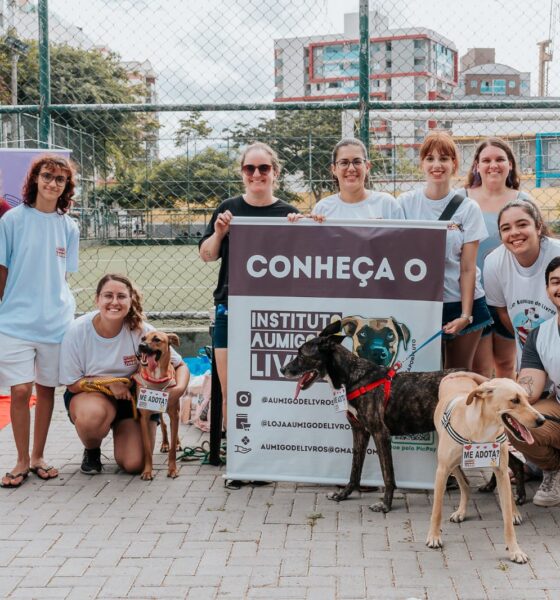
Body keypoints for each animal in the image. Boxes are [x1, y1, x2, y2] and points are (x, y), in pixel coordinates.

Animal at [132, 330, 180, 480]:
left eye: (157, 339)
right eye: (143, 338)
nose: (141, 346)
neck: (156, 377)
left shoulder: (174, 413)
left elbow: (173, 449)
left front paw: (172, 469)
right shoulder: (144, 418)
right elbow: (147, 448)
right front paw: (147, 471)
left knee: (174, 429)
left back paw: (177, 443)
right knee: (163, 425)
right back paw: (165, 443)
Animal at [282, 322, 458, 512]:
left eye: (301, 354)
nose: (282, 369)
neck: (352, 377)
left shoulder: (380, 433)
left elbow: (387, 474)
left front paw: (385, 504)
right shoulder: (360, 431)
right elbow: (355, 469)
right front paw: (343, 494)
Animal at [426, 372, 544, 564]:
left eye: (527, 398)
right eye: (514, 400)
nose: (542, 420)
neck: (482, 429)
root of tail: (456, 374)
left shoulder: (501, 471)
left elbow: (507, 519)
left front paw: (514, 550)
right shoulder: (442, 470)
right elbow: (437, 510)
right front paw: (434, 536)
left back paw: (514, 511)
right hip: (452, 464)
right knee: (464, 484)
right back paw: (461, 511)